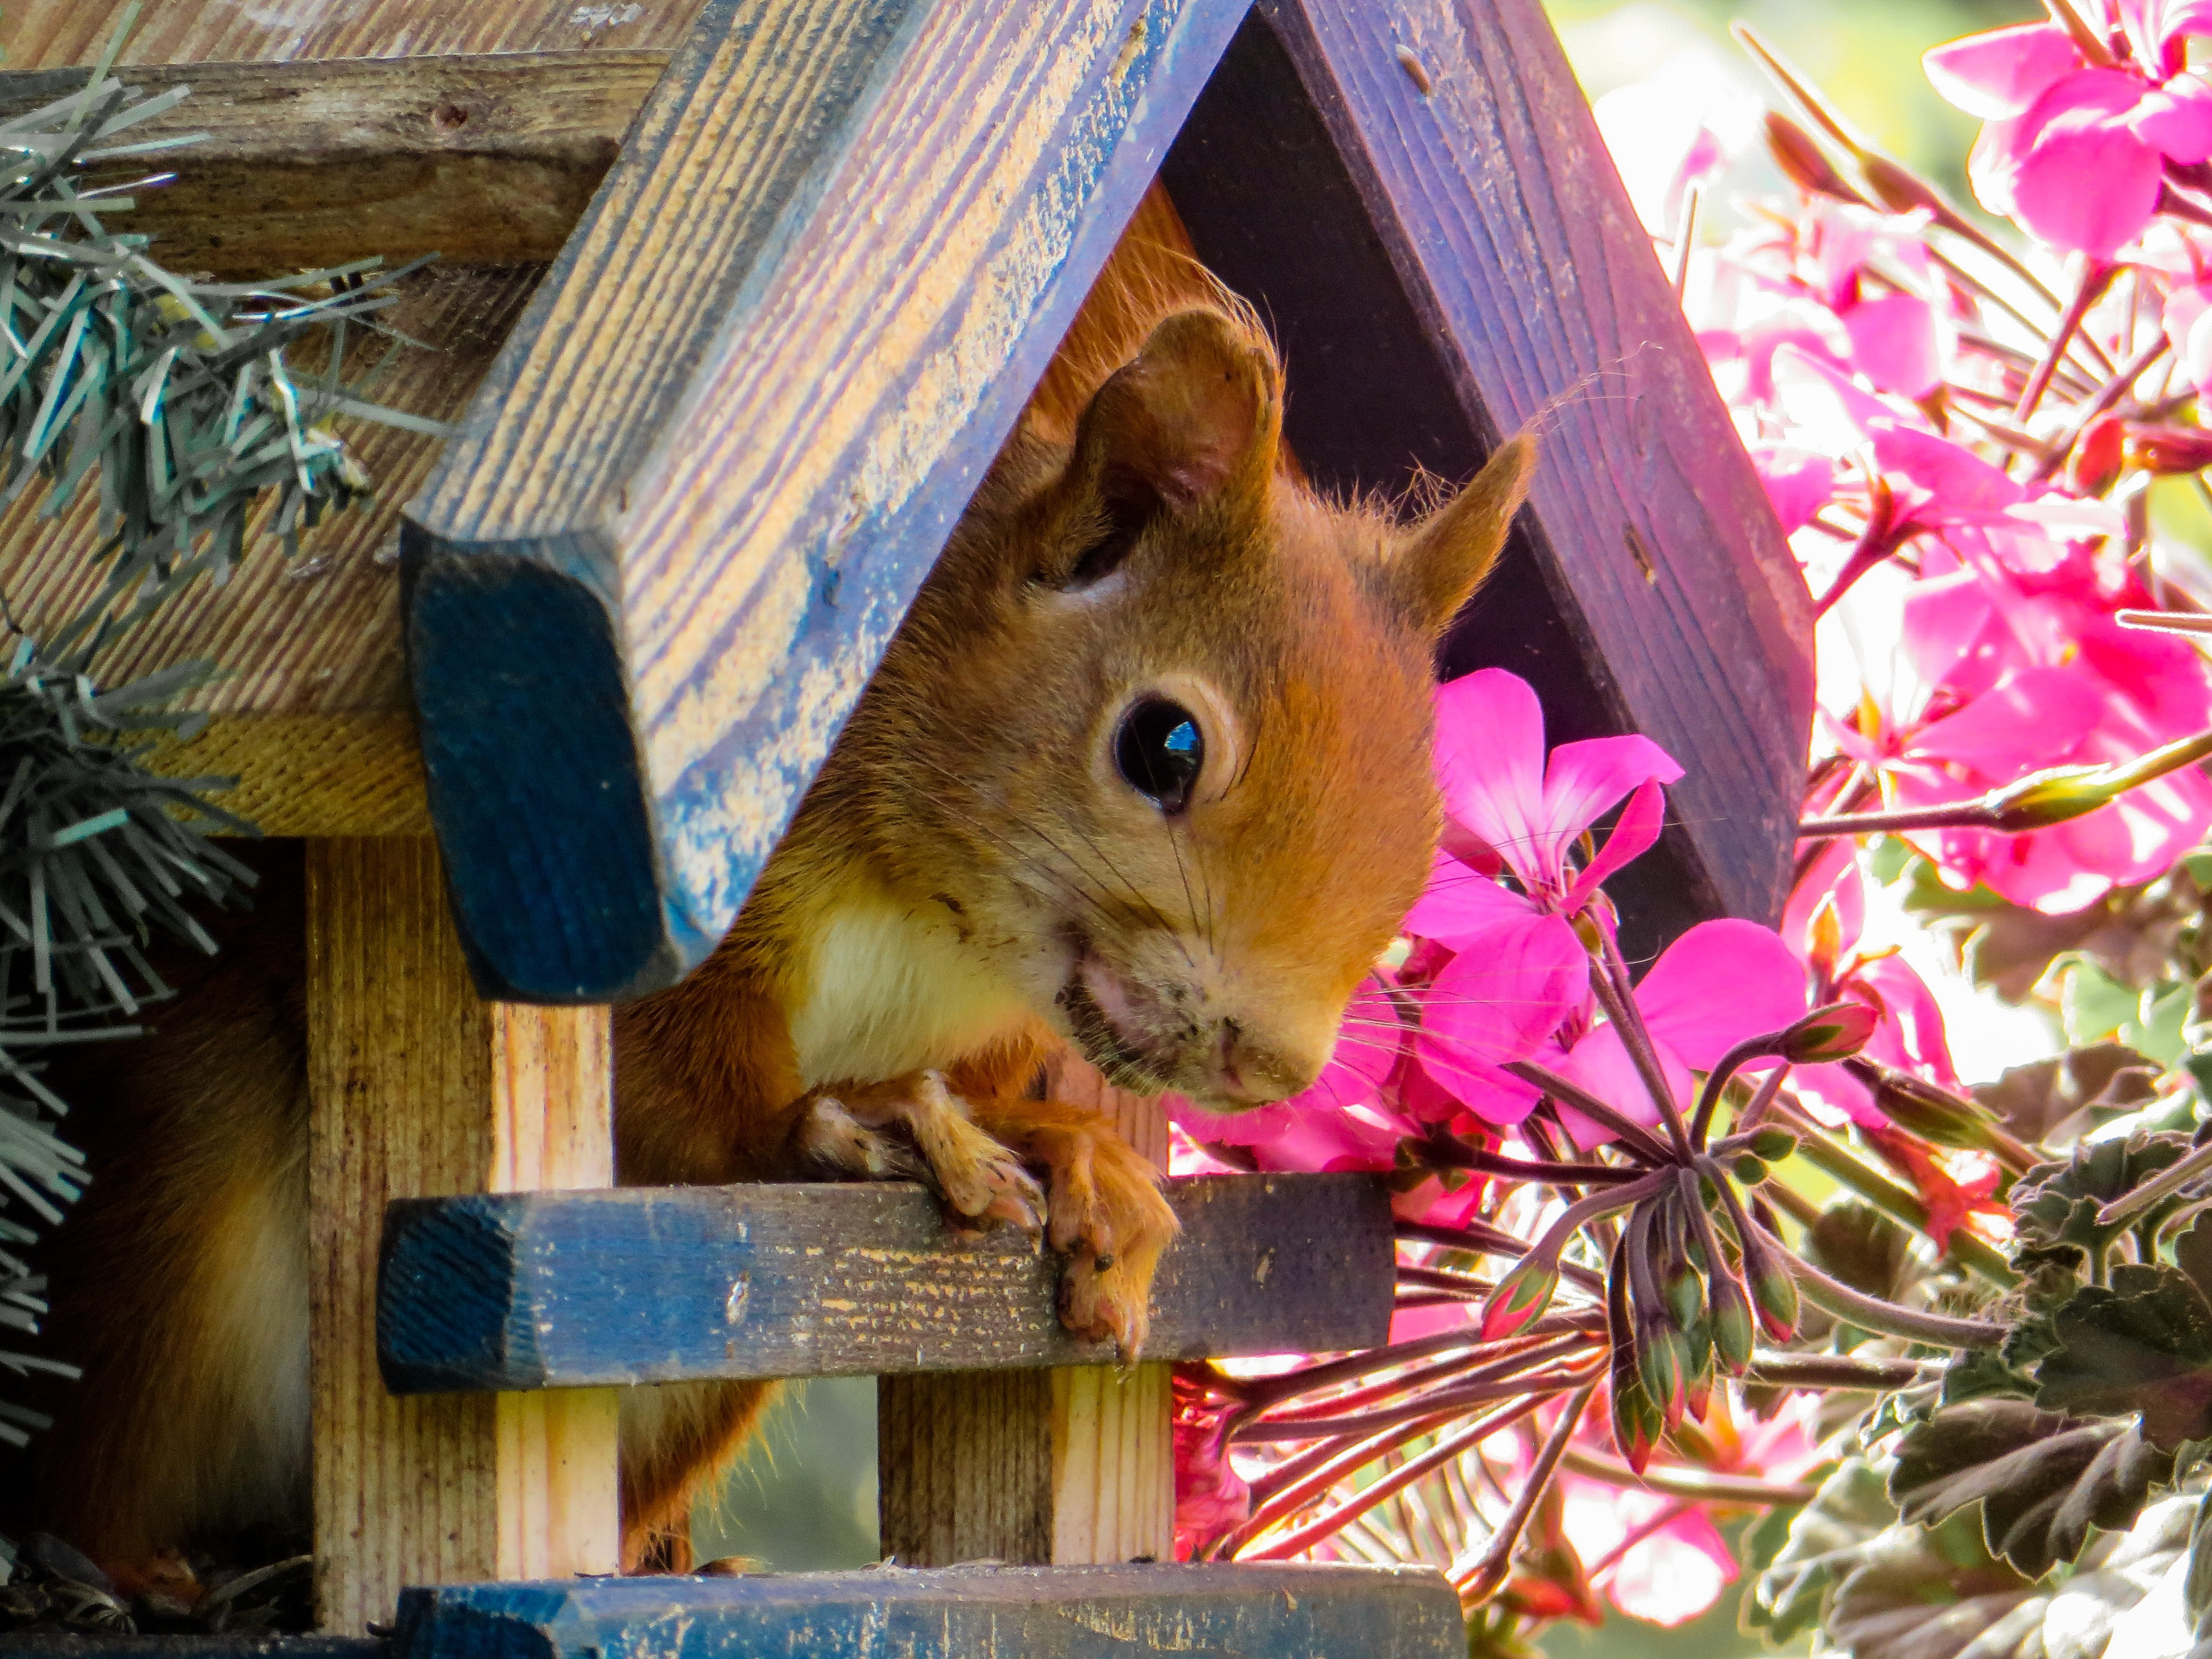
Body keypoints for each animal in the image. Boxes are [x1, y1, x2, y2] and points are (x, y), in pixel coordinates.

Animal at [0, 185, 1535, 1579]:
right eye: (1164, 746)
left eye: (1424, 819)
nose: (1271, 1064)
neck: (942, 937)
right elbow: (672, 1094)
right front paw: (863, 1119)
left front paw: (1083, 1158)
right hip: (172, 1252)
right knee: (107, 1446)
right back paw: (130, 1569)